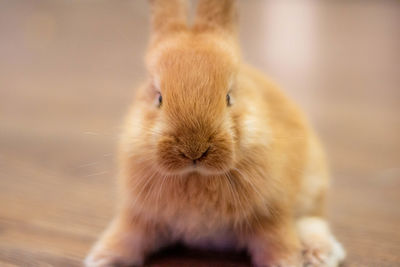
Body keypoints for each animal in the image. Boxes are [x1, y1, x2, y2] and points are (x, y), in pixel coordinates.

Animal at [85, 0, 346, 267]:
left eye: (228, 97)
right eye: (159, 98)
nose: (194, 150)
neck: (196, 177)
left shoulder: (271, 215)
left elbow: (278, 243)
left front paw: (287, 262)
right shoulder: (141, 216)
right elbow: (127, 237)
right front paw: (101, 259)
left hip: (313, 182)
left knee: (313, 221)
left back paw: (320, 253)